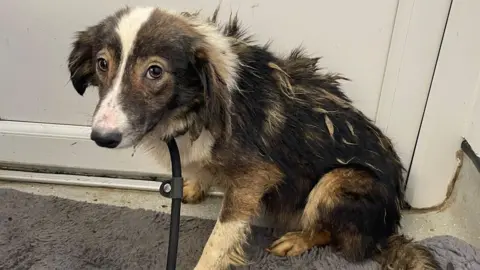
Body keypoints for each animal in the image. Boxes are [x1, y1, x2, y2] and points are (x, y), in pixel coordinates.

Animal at [65, 6, 440, 270]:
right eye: (102, 64)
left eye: (155, 71)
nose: (102, 137)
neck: (199, 101)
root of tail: (388, 230)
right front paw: (193, 185)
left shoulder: (255, 177)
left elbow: (219, 238)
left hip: (336, 182)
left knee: (339, 238)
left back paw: (297, 240)